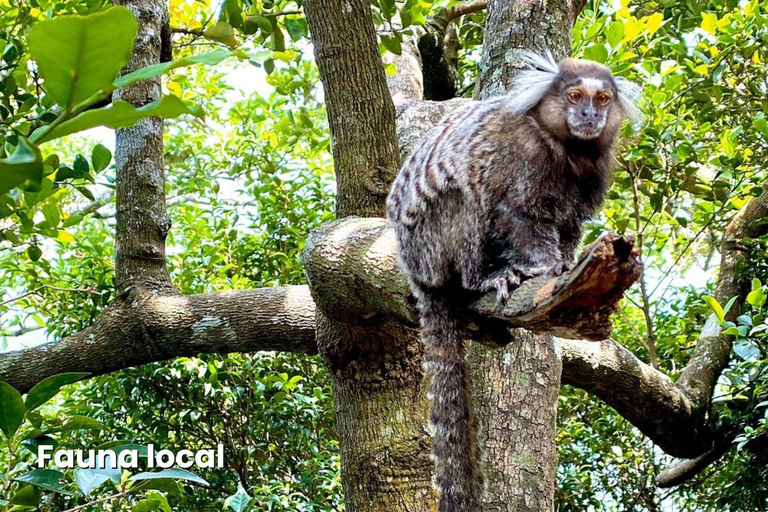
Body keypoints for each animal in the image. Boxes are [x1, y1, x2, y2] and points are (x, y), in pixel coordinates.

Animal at [388, 53, 640, 512]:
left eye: (602, 99)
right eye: (575, 96)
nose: (589, 115)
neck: (565, 149)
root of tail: (416, 273)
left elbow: (566, 228)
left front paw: (566, 261)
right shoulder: (519, 162)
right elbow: (515, 214)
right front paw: (547, 268)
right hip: (431, 243)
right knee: (464, 199)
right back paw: (484, 278)